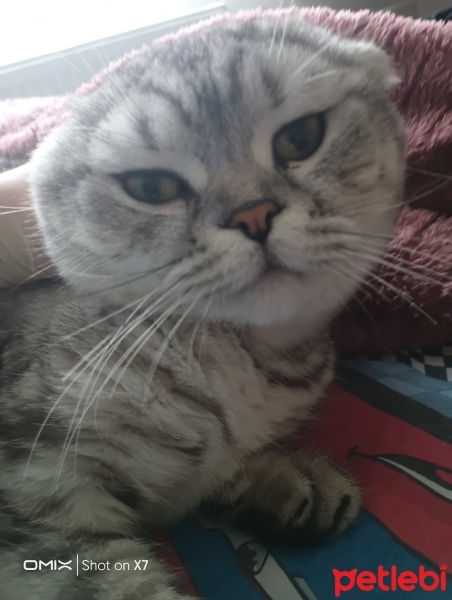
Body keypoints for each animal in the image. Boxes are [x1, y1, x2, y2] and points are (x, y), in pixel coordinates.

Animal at [0, 10, 402, 600]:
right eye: (150, 186)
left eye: (300, 137)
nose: (253, 214)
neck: (249, 367)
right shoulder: (37, 495)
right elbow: (118, 581)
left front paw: (284, 480)